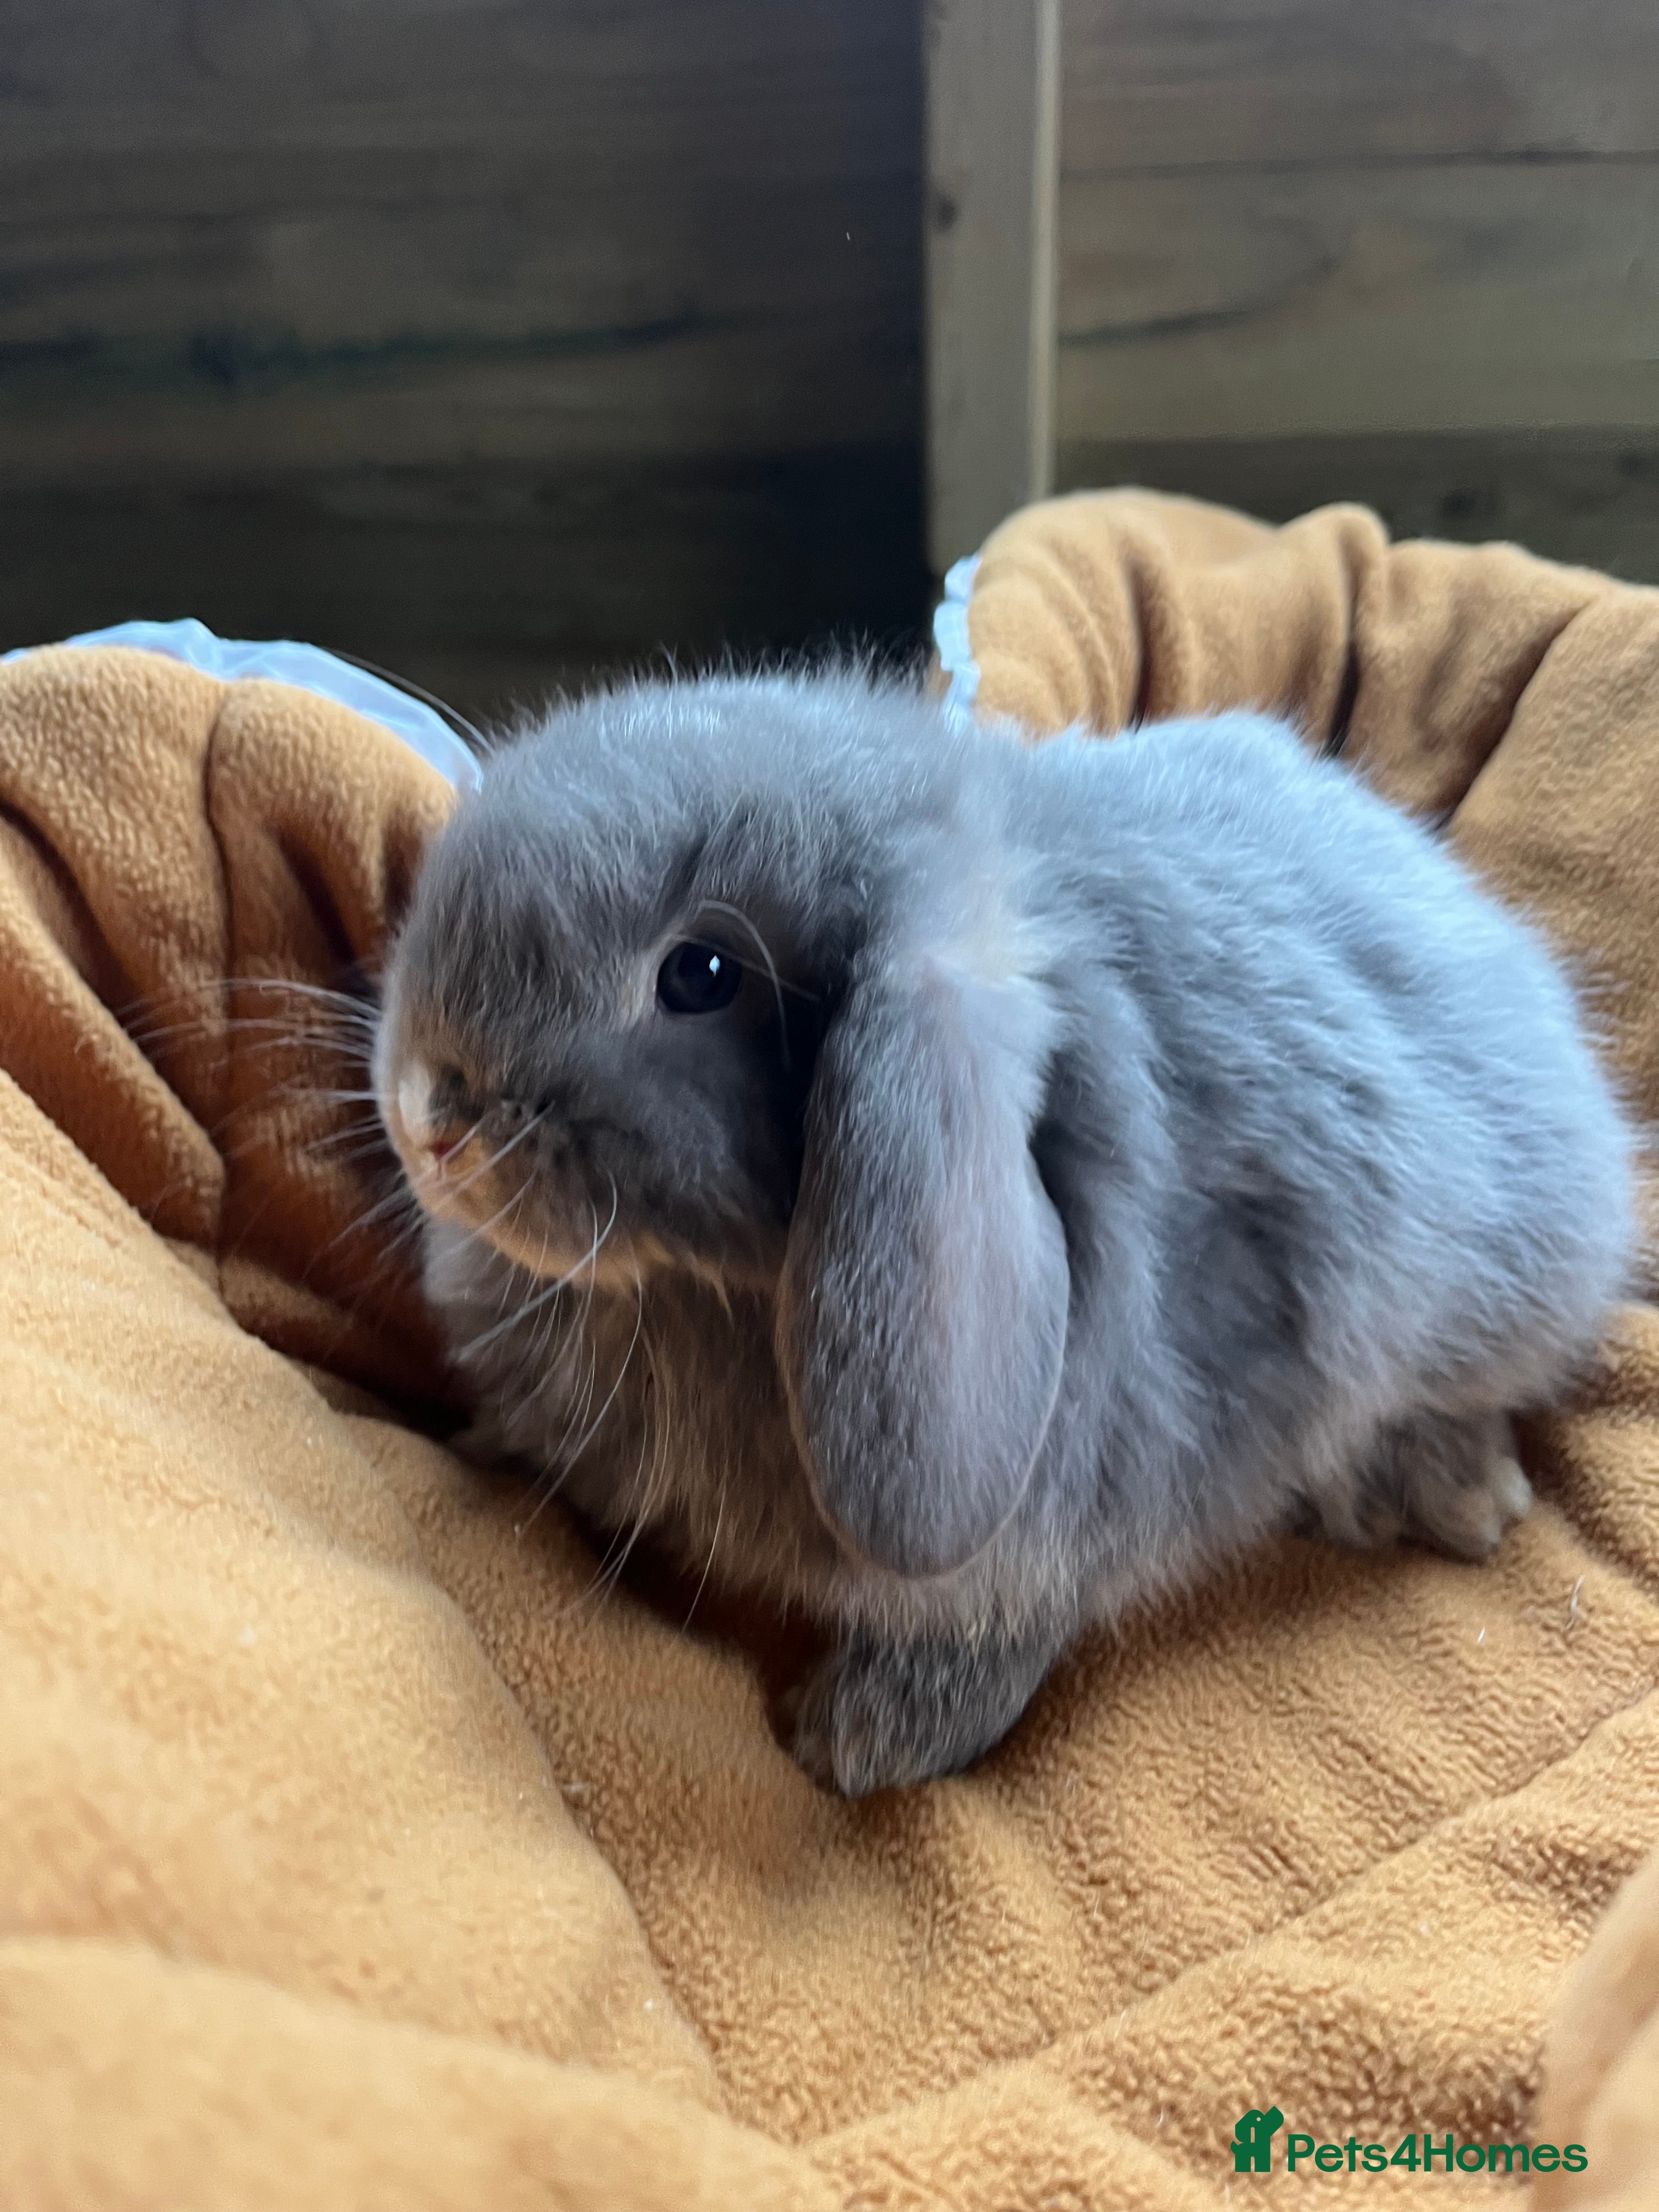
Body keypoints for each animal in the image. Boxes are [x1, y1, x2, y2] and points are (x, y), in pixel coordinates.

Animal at [372, 669, 1636, 1796]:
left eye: (702, 973)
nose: (428, 1115)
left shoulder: (1066, 1509)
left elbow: (992, 1626)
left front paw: (855, 1746)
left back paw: (1456, 1502)